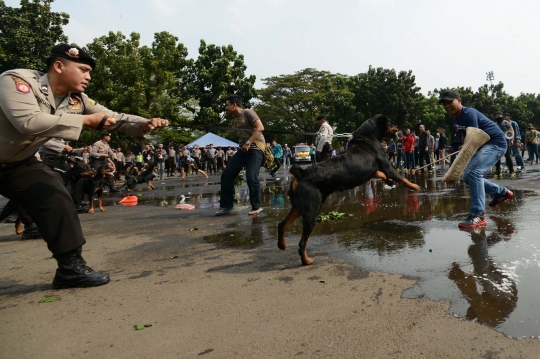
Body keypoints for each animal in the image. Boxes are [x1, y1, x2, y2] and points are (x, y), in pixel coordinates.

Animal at [278, 115, 422, 268]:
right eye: (390, 122)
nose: (398, 127)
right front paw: (414, 186)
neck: (367, 137)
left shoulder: (371, 170)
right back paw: (306, 260)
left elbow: (380, 174)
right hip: (312, 210)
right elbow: (401, 177)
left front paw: (389, 182)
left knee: (282, 225)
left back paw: (282, 245)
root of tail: (302, 174)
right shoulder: (386, 165)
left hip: (298, 206)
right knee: (302, 242)